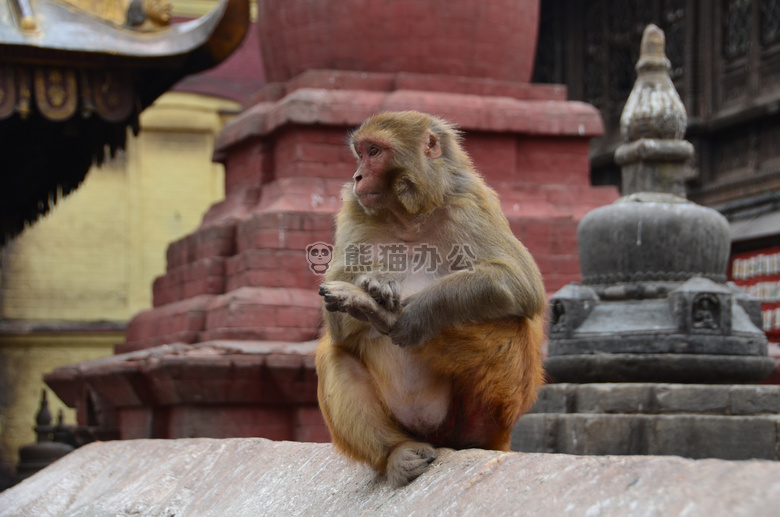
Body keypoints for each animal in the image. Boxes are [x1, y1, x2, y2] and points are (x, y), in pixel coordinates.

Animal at [314, 111, 544, 486]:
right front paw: (371, 284)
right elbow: (338, 330)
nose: (357, 176)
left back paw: (390, 319)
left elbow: (519, 282)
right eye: (360, 153)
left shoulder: (470, 201)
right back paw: (396, 452)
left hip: (495, 408)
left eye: (374, 151)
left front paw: (412, 313)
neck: (409, 217)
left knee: (510, 322)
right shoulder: (353, 211)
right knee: (333, 355)